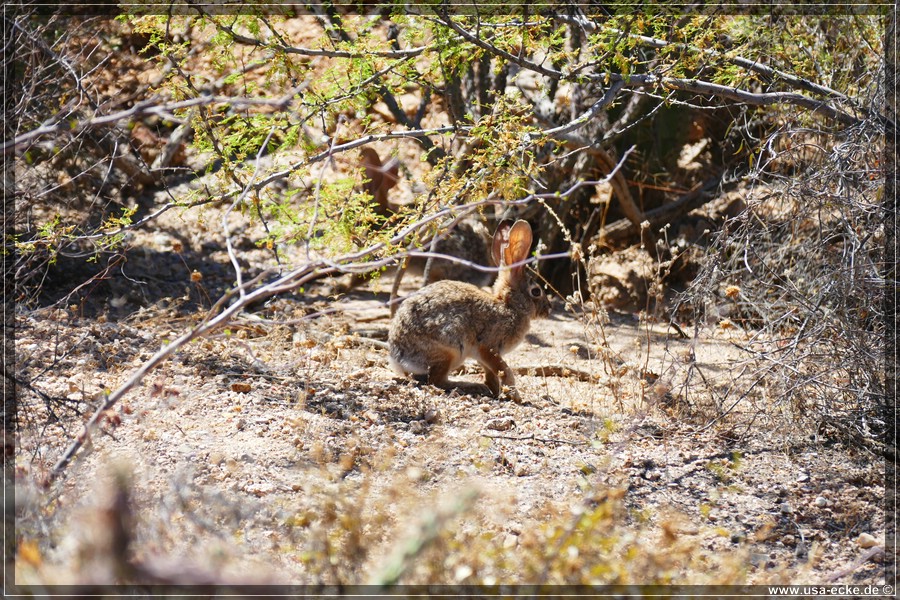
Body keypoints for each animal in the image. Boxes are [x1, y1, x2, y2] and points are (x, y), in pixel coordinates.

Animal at [386, 218, 548, 400]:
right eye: (536, 292)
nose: (548, 309)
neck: (510, 305)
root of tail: (397, 358)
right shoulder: (488, 346)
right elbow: (505, 371)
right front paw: (516, 397)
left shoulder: (484, 356)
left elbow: (491, 374)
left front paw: (497, 391)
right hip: (451, 351)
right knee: (436, 381)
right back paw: (469, 386)